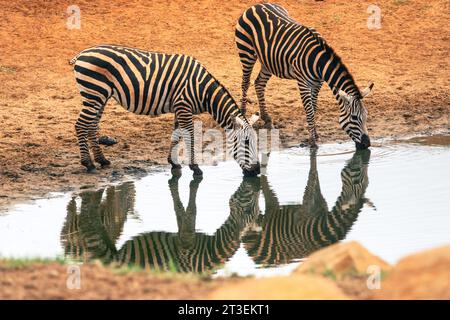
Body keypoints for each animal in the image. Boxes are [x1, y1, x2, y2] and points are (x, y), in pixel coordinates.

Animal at [69, 43, 260, 176]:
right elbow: (189, 136)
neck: (203, 90)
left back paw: (102, 160)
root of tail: (81, 54)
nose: (257, 171)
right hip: (94, 93)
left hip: (100, 96)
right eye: (246, 143)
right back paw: (88, 164)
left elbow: (176, 135)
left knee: (92, 126)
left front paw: (173, 163)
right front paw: (195, 167)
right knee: (81, 125)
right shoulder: (183, 106)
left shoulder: (179, 108)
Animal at [234, 3, 374, 149]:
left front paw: (315, 134)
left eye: (366, 116)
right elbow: (310, 111)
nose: (367, 144)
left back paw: (266, 117)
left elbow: (314, 108)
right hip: (246, 51)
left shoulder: (317, 83)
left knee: (259, 83)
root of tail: (256, 5)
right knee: (245, 83)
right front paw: (312, 141)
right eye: (354, 118)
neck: (319, 63)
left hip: (268, 61)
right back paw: (243, 115)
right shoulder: (303, 83)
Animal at [243, 149, 372, 264]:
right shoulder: (305, 209)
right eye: (357, 181)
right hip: (271, 213)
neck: (326, 226)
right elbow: (313, 174)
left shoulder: (320, 202)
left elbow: (315, 175)